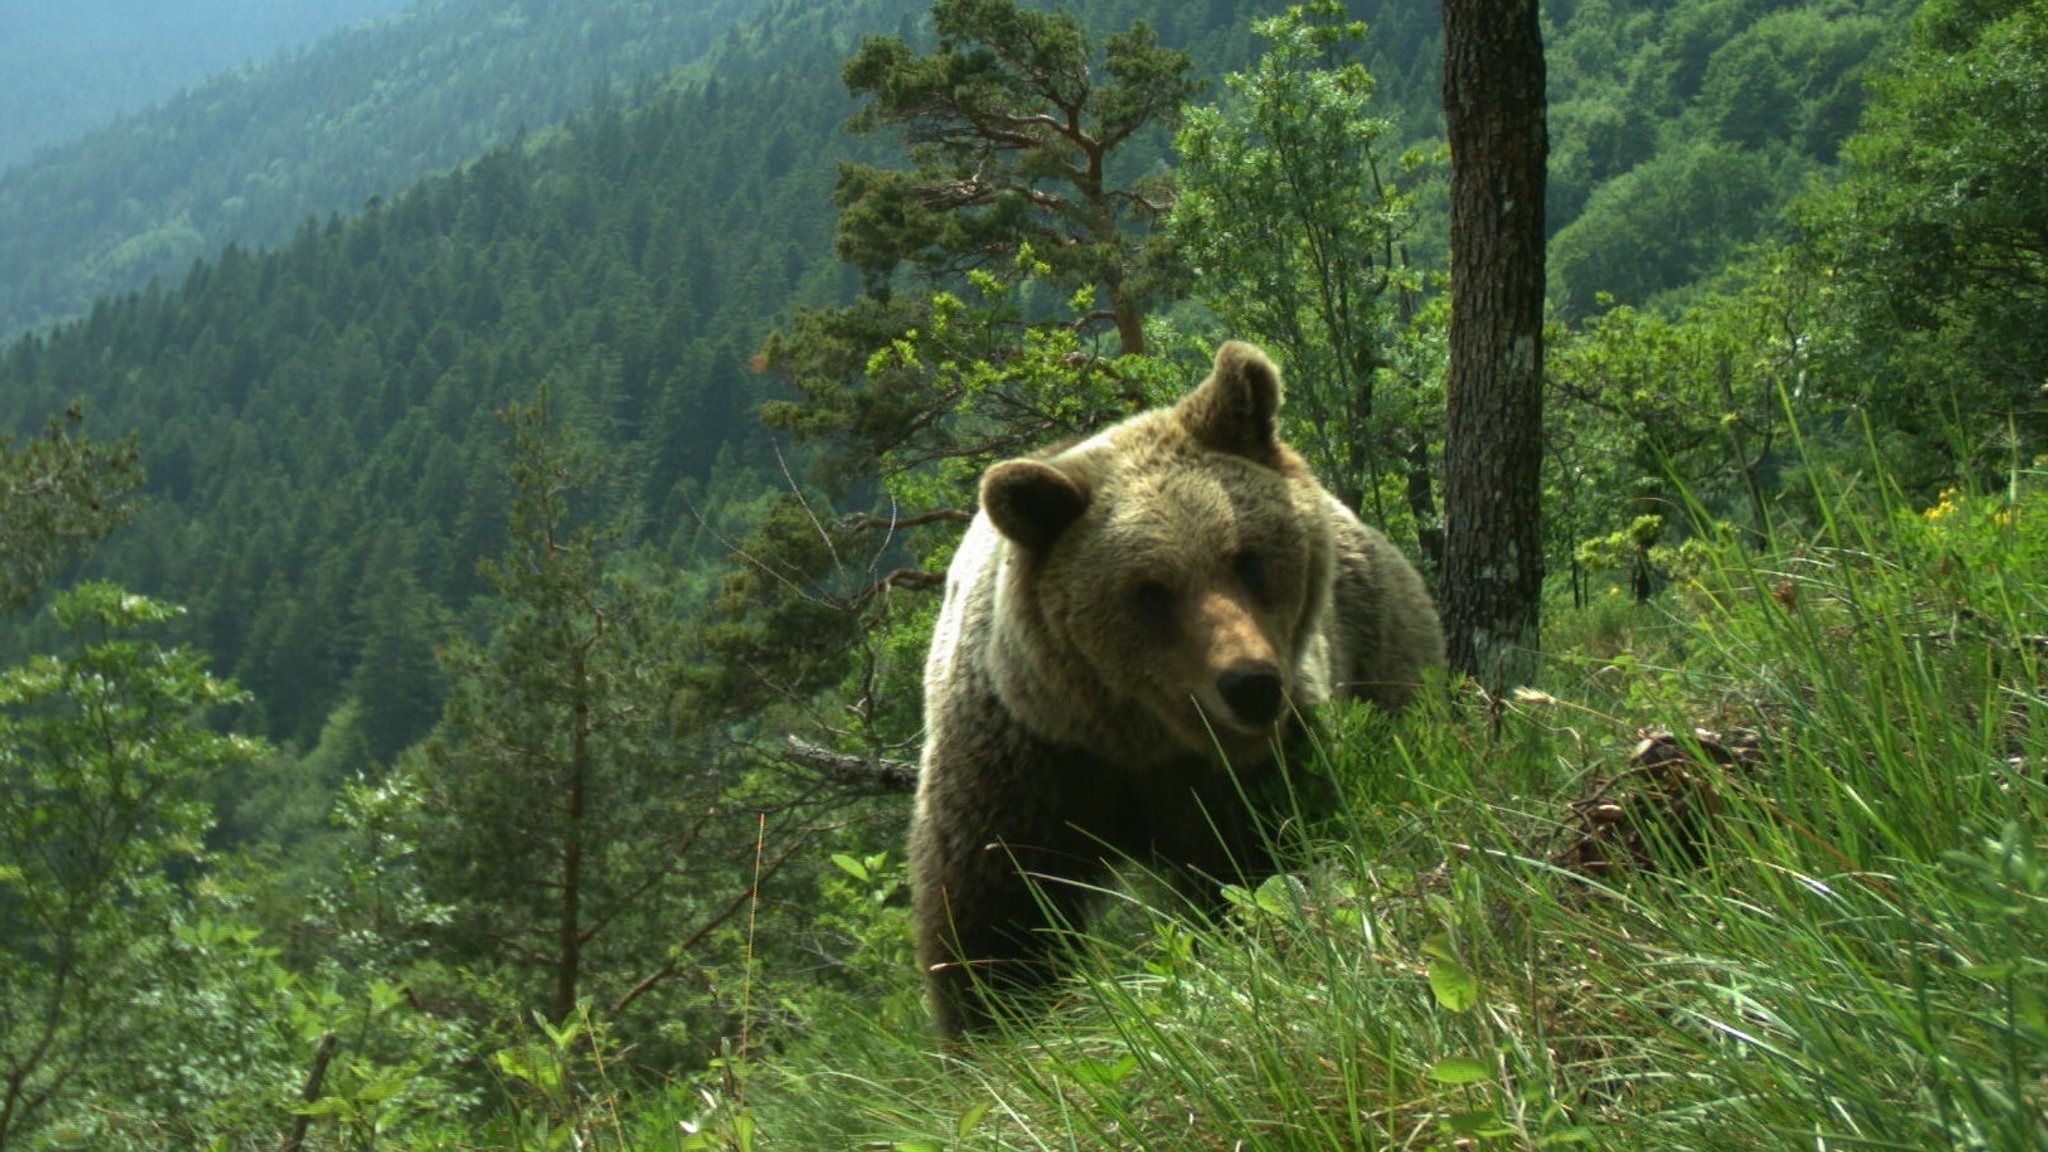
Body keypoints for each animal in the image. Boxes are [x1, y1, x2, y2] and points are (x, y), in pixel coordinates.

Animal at [913, 338, 1441, 1033]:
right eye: (1149, 591)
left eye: (1246, 557)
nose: (1251, 685)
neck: (1141, 738)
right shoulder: (1026, 759)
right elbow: (996, 911)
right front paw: (1000, 1021)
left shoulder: (1249, 768)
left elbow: (1263, 862)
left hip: (1382, 640)